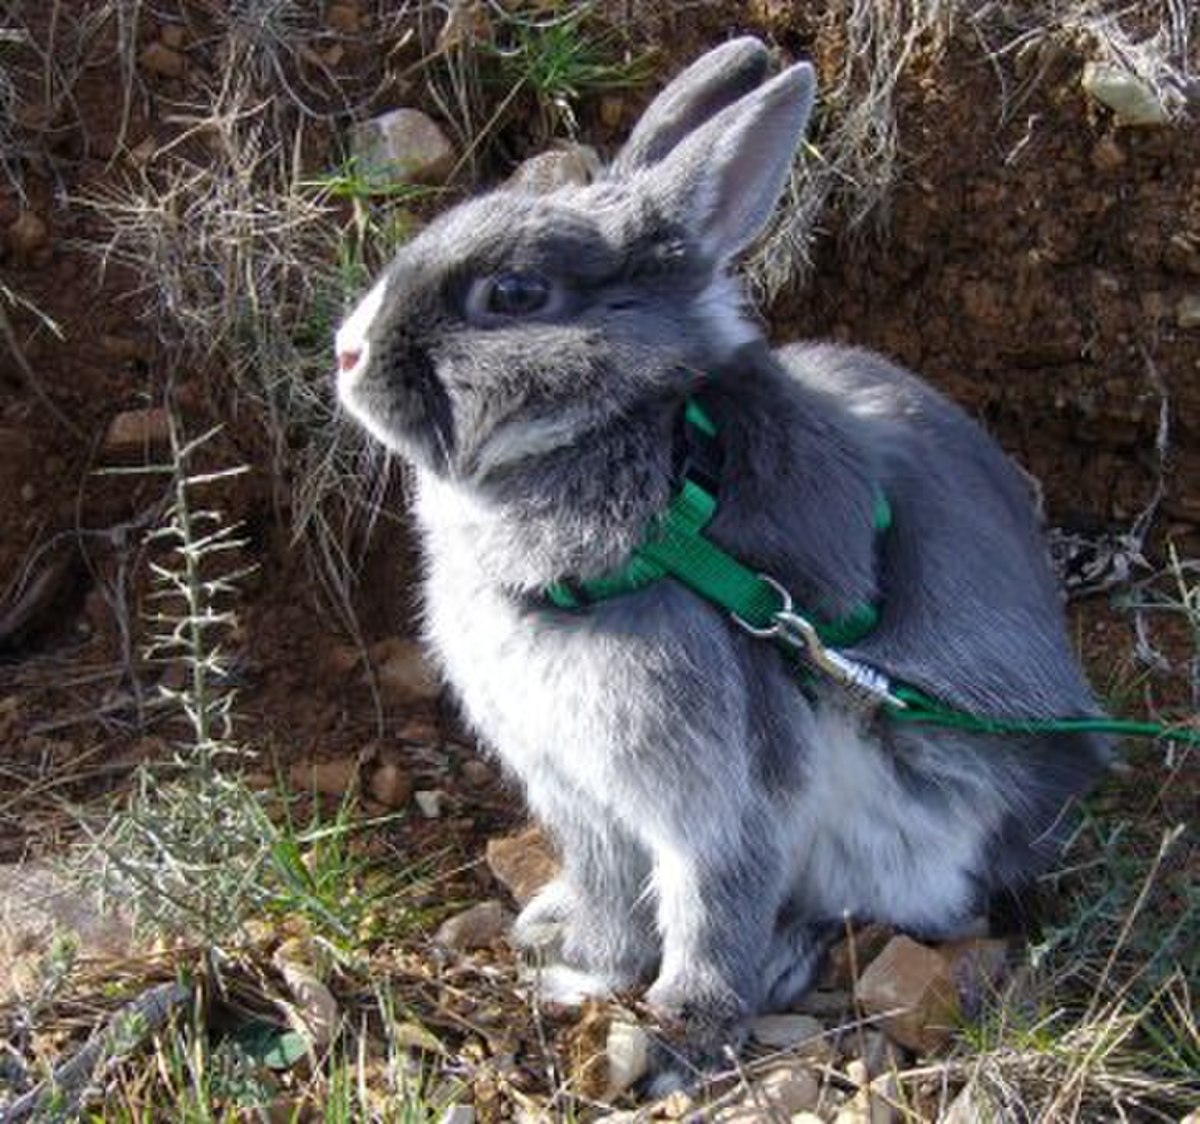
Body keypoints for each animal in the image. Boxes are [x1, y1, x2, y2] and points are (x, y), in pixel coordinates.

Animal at [335, 37, 1110, 1082]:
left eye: (514, 295)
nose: (347, 353)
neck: (664, 494)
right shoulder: (578, 793)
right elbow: (613, 894)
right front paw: (587, 967)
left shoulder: (723, 782)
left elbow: (713, 902)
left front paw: (680, 1034)